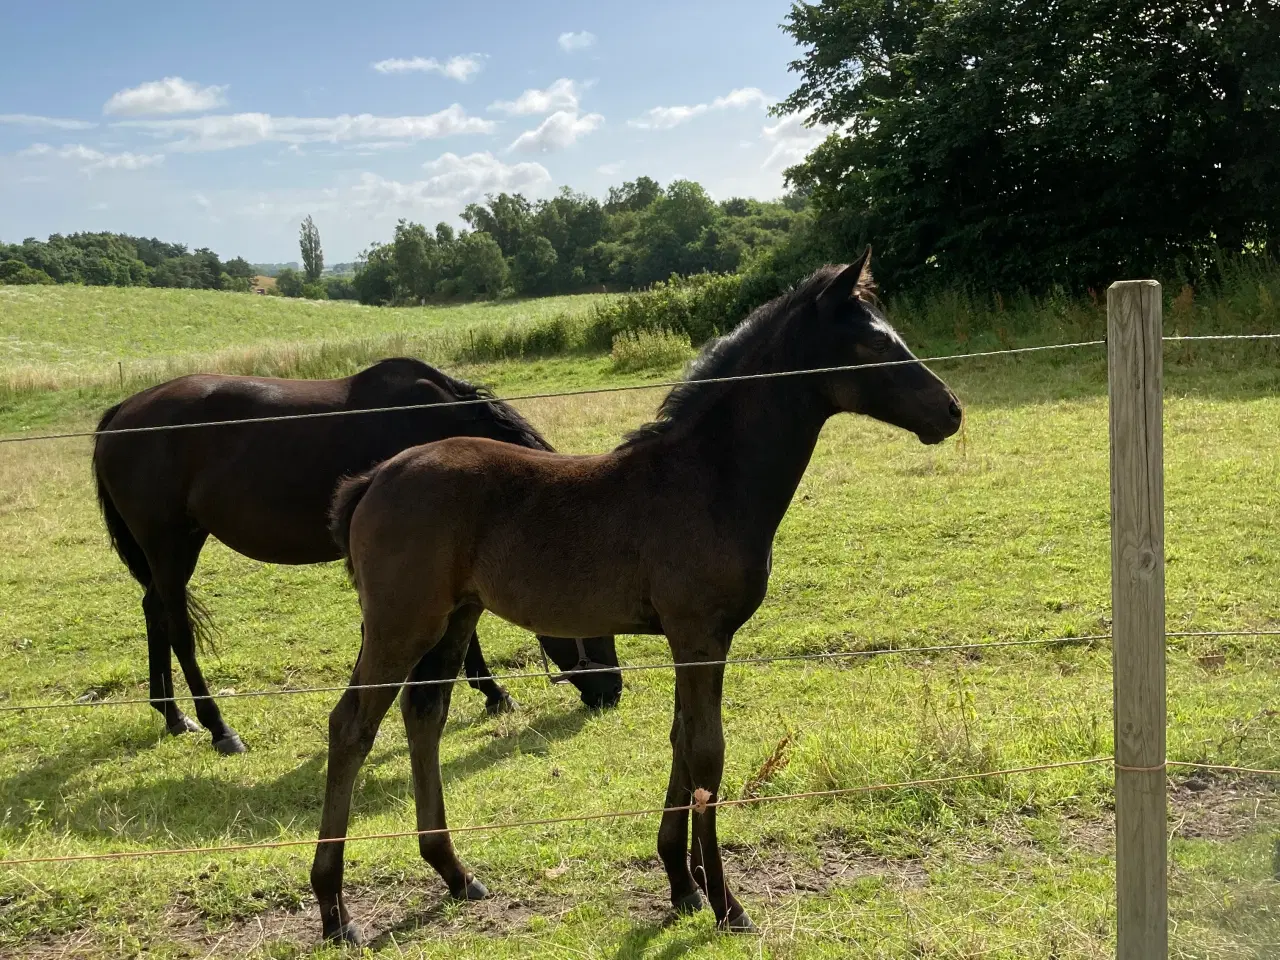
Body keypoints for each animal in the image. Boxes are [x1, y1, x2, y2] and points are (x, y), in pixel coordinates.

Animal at [90, 358, 619, 757]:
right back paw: (219, 728)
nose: (611, 691)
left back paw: (172, 714)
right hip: (168, 542)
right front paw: (494, 692)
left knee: (154, 612)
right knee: (176, 624)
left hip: (177, 544)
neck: (435, 421)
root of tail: (121, 414)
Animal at [314, 249, 962, 947]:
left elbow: (682, 738)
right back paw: (335, 911)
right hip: (401, 623)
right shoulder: (700, 634)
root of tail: (376, 477)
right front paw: (727, 903)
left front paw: (683, 884)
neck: (707, 478)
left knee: (424, 714)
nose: (951, 411)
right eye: (874, 344)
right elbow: (707, 753)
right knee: (351, 726)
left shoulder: (693, 640)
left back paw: (456, 875)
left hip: (456, 617)